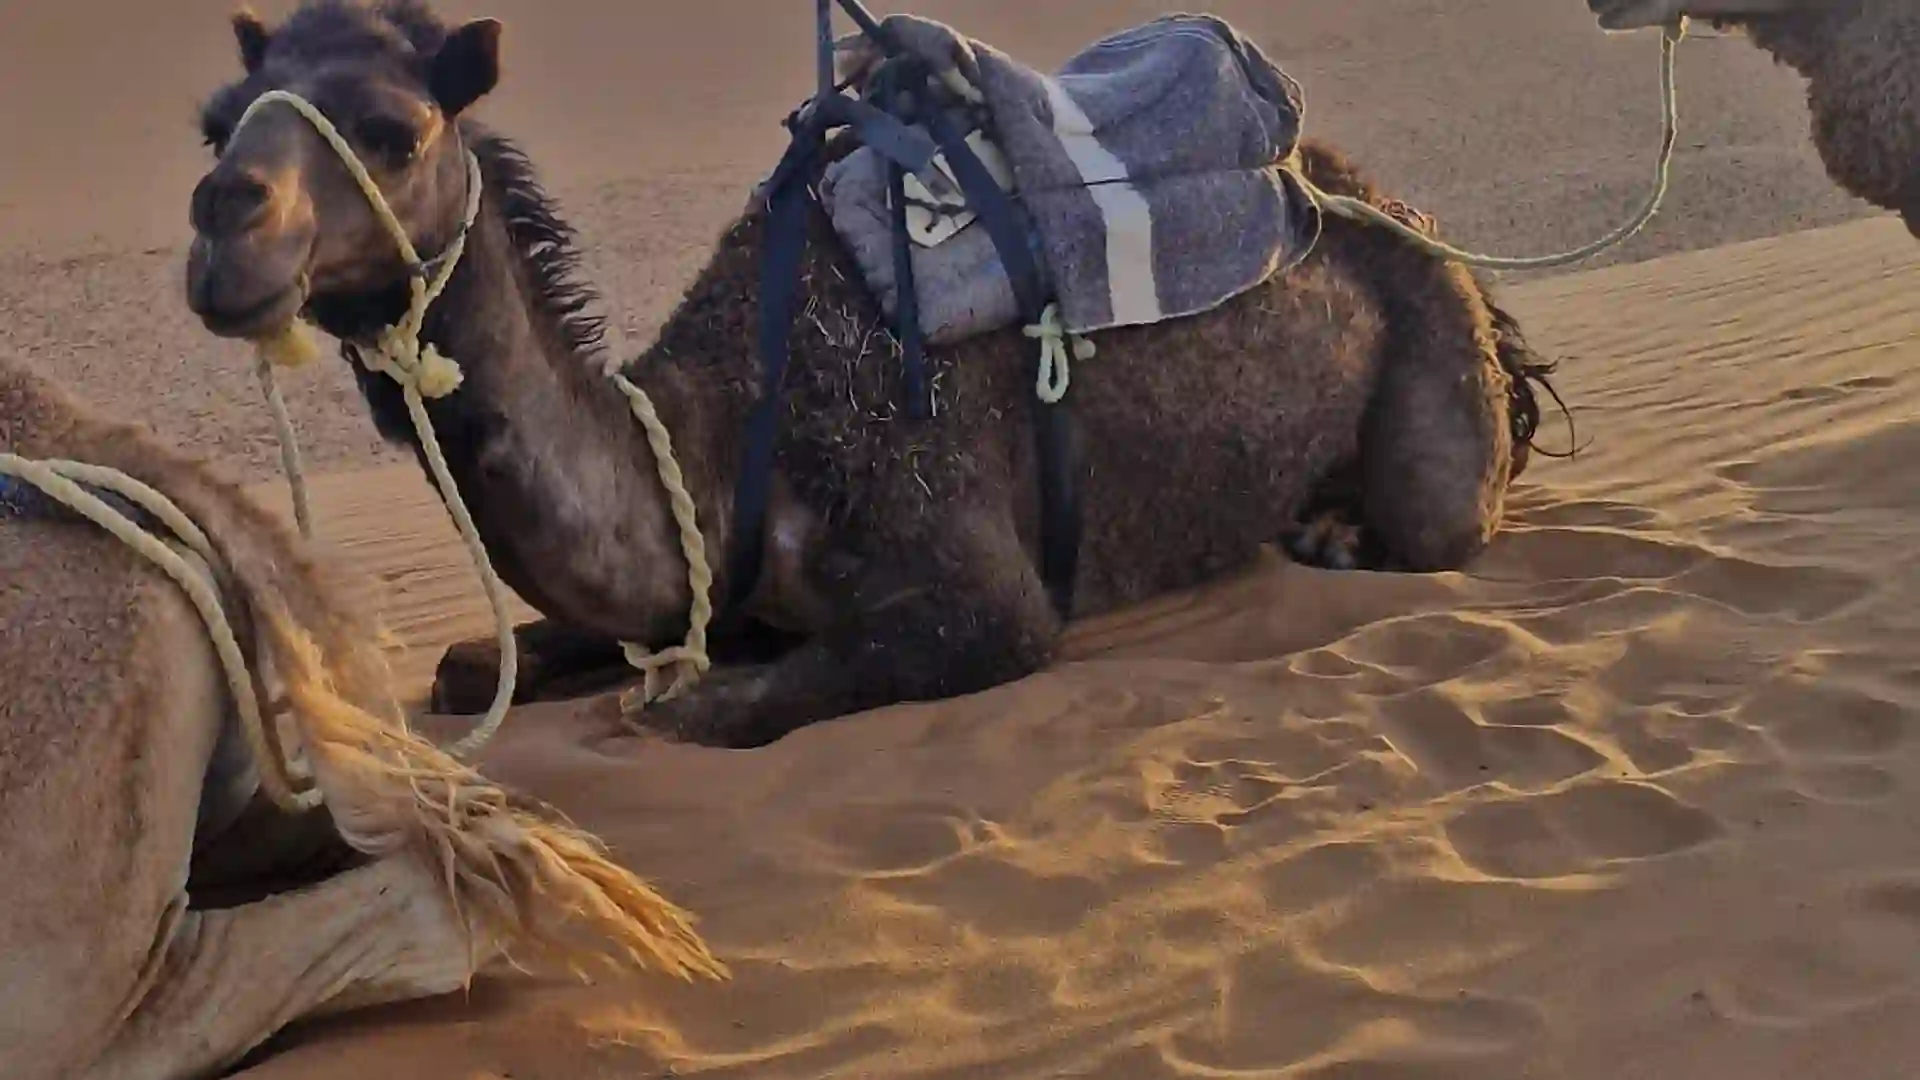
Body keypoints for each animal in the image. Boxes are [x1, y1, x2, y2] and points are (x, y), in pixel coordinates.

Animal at [182, 0, 1560, 749]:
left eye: (392, 131)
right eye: (216, 119)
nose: (222, 225)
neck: (721, 440)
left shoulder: (973, 579)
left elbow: (685, 707)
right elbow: (481, 664)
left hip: (1435, 368)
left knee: (1439, 517)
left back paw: (1336, 534)